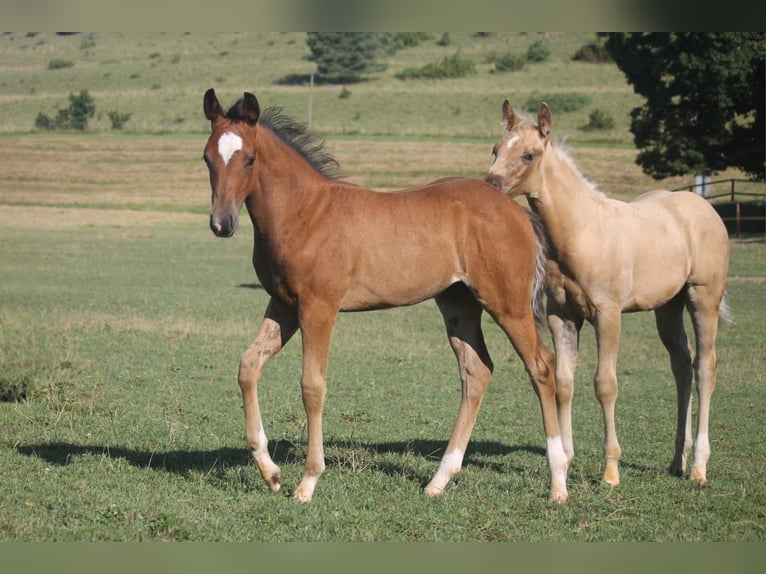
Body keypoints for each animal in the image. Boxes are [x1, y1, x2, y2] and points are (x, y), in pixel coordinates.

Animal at [204, 90, 568, 504]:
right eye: (207, 158)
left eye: (249, 159)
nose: (222, 224)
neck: (304, 213)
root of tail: (519, 213)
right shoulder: (283, 305)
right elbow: (249, 366)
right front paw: (271, 473)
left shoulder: (318, 308)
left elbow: (312, 385)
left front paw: (308, 481)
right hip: (458, 304)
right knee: (477, 371)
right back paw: (439, 480)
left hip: (508, 304)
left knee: (541, 366)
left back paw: (558, 482)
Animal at [486, 101, 732, 492]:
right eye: (496, 149)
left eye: (528, 154)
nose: (490, 185)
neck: (582, 231)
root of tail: (705, 207)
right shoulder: (562, 315)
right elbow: (563, 383)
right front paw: (566, 459)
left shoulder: (607, 313)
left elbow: (605, 384)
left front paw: (611, 471)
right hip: (667, 307)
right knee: (682, 365)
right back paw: (676, 461)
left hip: (703, 297)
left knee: (705, 366)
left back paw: (698, 467)